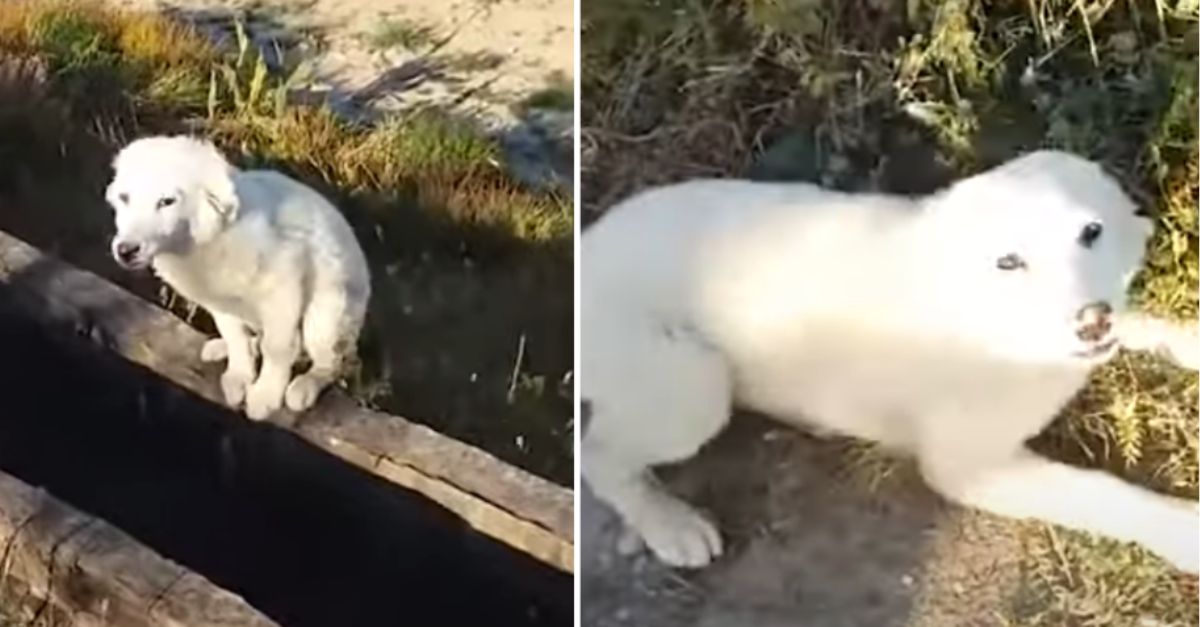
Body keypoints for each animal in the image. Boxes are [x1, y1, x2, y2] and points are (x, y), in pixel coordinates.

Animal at [108, 136, 369, 420]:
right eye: (124, 198)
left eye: (167, 201)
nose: (126, 251)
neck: (208, 240)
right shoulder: (219, 301)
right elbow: (236, 337)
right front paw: (239, 376)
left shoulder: (285, 280)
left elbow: (277, 347)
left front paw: (266, 394)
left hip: (326, 314)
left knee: (333, 362)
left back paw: (306, 385)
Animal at [583, 148, 1200, 569]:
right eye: (1008, 261)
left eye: (1091, 232)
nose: (1091, 320)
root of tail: (588, 245)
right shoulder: (966, 466)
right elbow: (1102, 492)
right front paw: (1184, 532)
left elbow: (1143, 322)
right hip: (697, 385)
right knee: (598, 454)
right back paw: (670, 524)